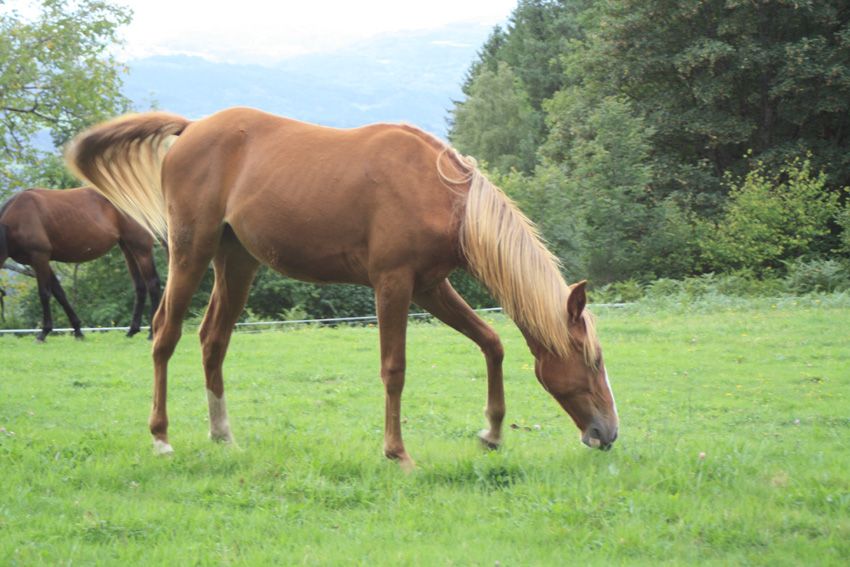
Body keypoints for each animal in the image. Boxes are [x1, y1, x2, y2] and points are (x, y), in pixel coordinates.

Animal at [0, 187, 162, 342]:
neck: (16, 218)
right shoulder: (41, 262)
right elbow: (59, 294)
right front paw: (78, 331)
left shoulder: (39, 257)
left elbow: (44, 294)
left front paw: (43, 333)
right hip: (127, 247)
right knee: (140, 287)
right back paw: (132, 331)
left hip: (141, 248)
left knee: (153, 284)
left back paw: (152, 334)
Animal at [66, 107, 619, 467]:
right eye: (592, 360)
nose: (608, 433)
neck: (443, 195)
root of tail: (191, 128)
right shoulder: (393, 285)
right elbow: (394, 369)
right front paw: (396, 452)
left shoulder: (430, 287)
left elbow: (492, 342)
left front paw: (492, 432)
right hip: (191, 251)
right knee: (165, 335)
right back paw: (161, 438)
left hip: (236, 262)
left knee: (213, 341)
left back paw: (223, 435)